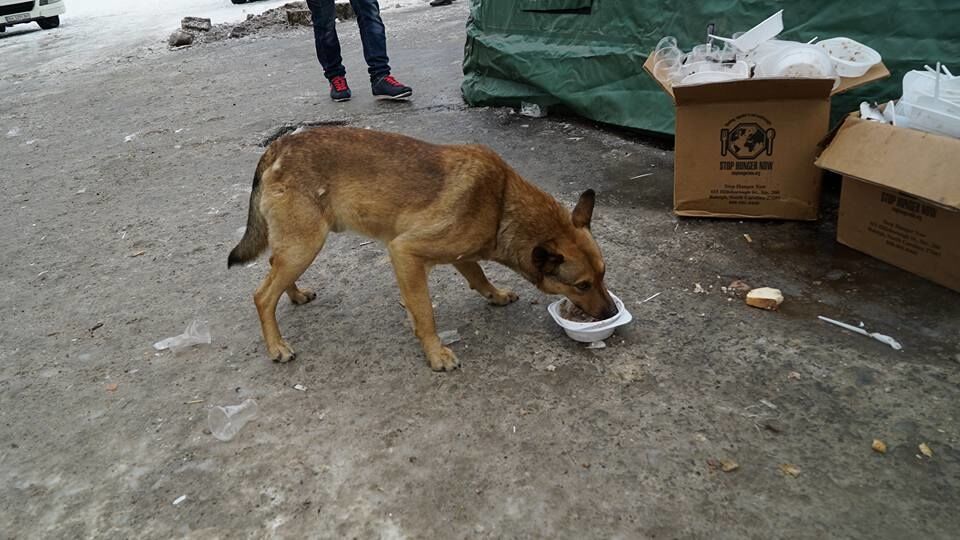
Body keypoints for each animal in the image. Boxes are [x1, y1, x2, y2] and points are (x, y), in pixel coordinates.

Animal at [229, 127, 612, 372]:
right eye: (582, 285)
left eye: (603, 275)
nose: (609, 312)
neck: (502, 204)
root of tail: (278, 146)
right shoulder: (406, 253)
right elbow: (425, 312)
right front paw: (435, 353)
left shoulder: (464, 255)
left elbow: (479, 277)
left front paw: (497, 295)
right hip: (305, 245)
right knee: (262, 295)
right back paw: (276, 346)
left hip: (297, 245)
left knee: (275, 267)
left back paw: (294, 294)